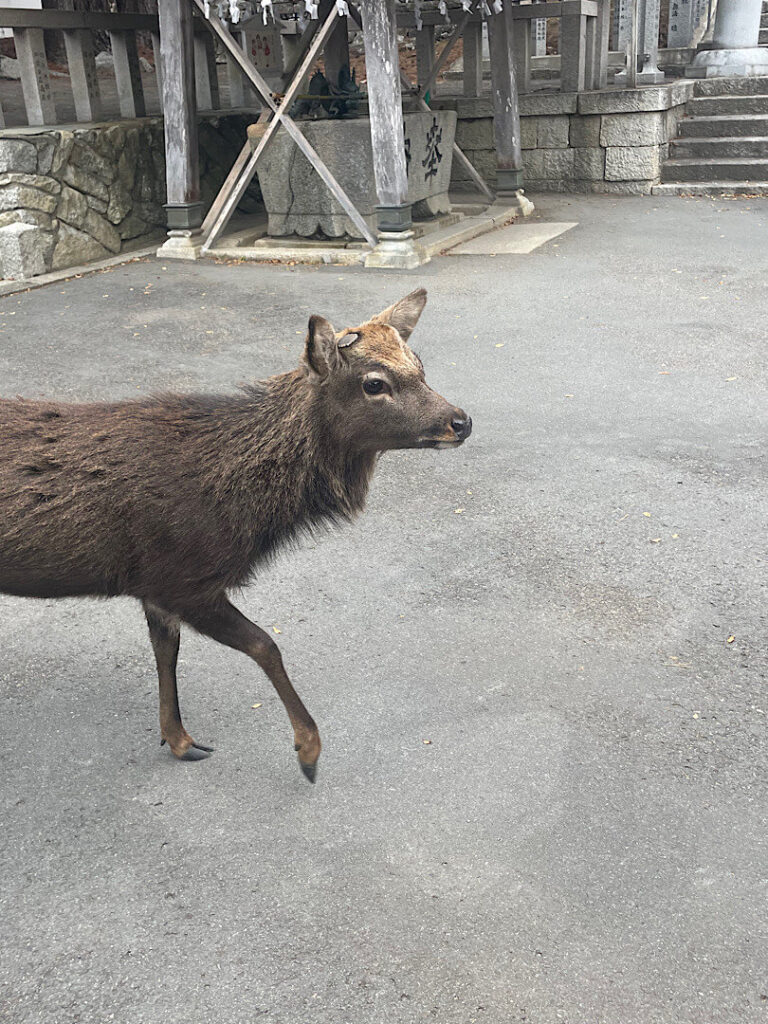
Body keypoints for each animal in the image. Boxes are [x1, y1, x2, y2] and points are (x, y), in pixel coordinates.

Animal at [0, 288, 471, 783]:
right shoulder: (182, 579)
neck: (241, 512)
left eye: (419, 364)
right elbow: (265, 645)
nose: (461, 422)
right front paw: (308, 751)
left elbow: (166, 652)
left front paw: (180, 740)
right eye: (375, 383)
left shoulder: (156, 587)